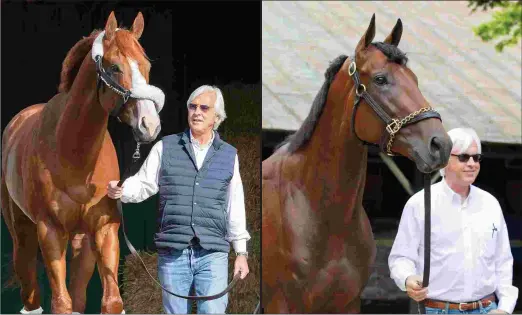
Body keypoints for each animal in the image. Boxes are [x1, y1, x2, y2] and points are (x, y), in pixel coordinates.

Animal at [1, 11, 164, 314]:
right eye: (114, 67)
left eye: (146, 65)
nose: (149, 125)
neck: (75, 159)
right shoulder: (50, 232)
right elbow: (61, 303)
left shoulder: (104, 229)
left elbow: (111, 301)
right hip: (22, 232)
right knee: (29, 286)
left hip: (82, 241)